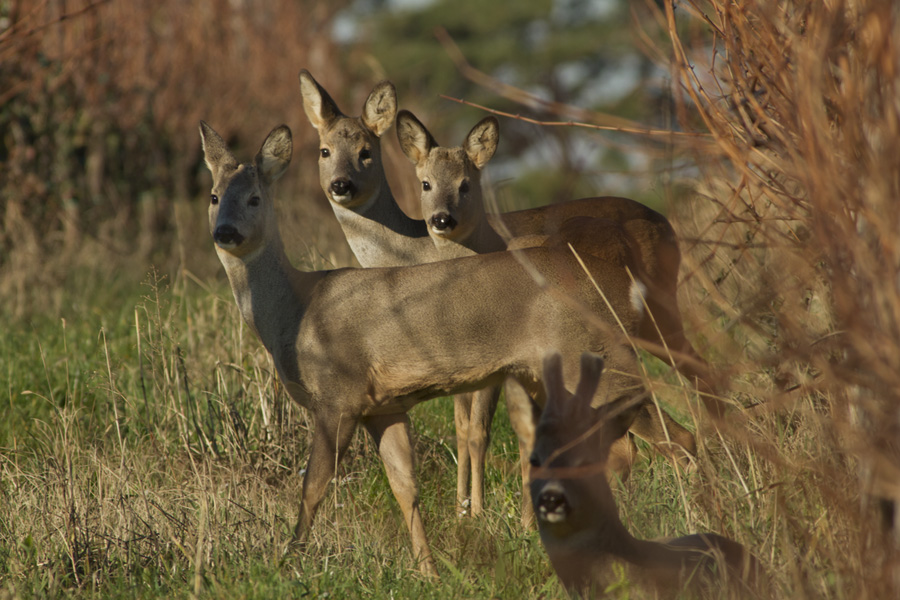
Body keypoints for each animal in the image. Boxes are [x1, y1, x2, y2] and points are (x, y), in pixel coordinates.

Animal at [199, 120, 652, 576]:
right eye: (215, 196)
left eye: (255, 198)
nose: (224, 233)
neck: (295, 313)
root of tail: (621, 288)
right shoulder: (383, 407)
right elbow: (405, 487)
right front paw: (429, 571)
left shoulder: (337, 394)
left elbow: (313, 486)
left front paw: (289, 560)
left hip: (592, 359)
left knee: (635, 439)